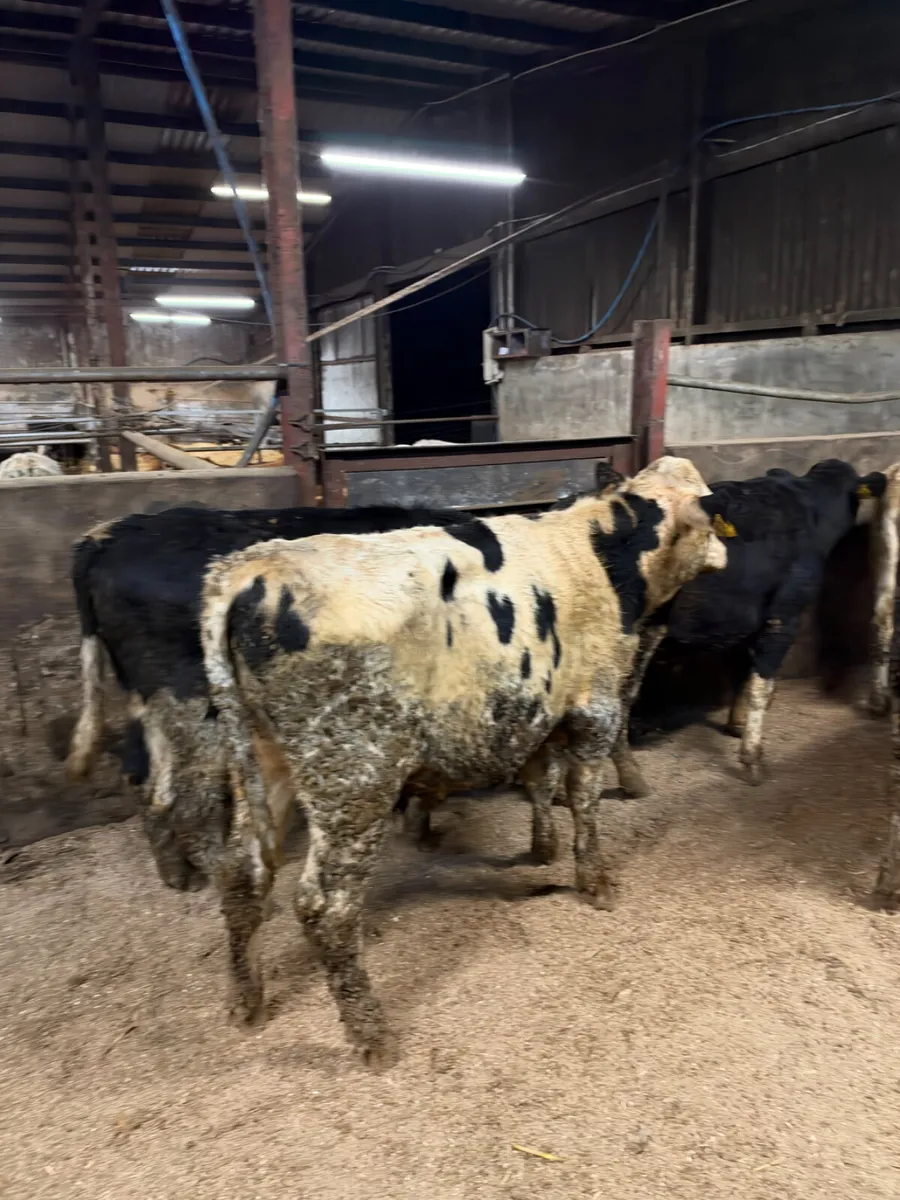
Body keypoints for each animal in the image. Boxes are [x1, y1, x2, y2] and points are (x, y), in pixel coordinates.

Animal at [199, 455, 729, 1066]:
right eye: (709, 510)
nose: (725, 554)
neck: (601, 550)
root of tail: (251, 568)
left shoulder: (539, 707)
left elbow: (541, 779)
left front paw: (541, 848)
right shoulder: (594, 708)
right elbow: (584, 799)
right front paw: (593, 880)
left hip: (265, 761)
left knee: (239, 873)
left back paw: (246, 1001)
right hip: (354, 778)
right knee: (325, 907)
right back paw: (371, 1033)